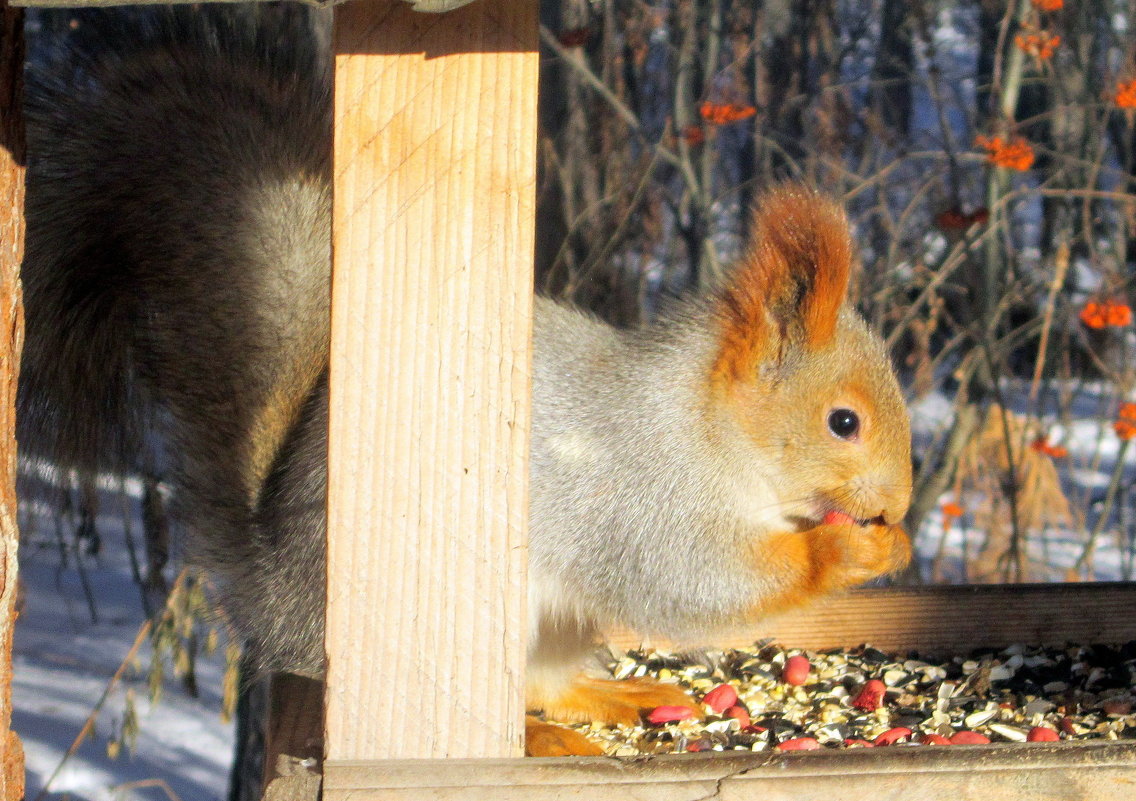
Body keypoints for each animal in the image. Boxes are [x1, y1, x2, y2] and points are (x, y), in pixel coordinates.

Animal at [13, 4, 908, 754]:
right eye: (844, 422)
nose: (899, 506)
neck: (714, 435)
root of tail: (283, 609)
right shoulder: (638, 496)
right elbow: (691, 581)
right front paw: (850, 548)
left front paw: (887, 542)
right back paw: (535, 738)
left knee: (548, 683)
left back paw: (605, 697)